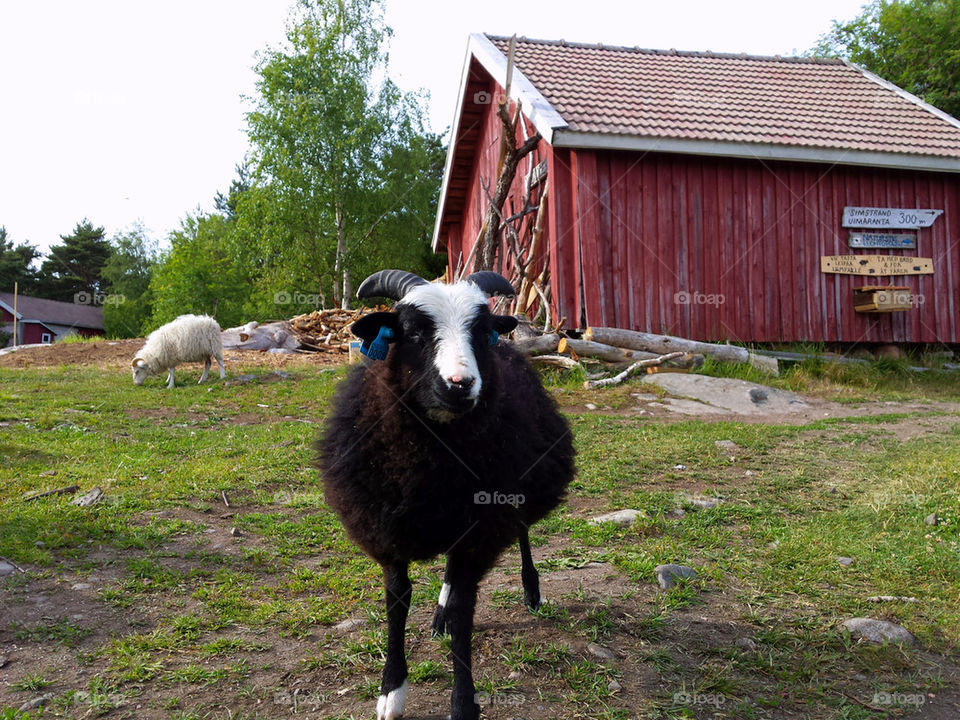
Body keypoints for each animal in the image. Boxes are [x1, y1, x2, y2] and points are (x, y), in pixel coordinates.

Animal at [316, 269, 575, 720]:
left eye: (483, 332)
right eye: (414, 332)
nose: (460, 384)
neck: (430, 460)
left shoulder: (480, 529)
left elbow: (462, 612)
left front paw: (463, 702)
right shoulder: (387, 530)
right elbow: (397, 601)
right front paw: (391, 690)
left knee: (521, 534)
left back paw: (531, 590)